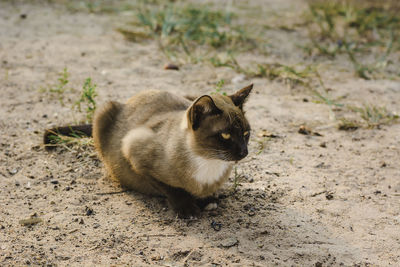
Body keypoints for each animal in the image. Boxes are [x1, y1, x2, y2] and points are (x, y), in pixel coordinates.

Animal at [44, 85, 253, 219]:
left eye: (246, 133)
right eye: (225, 135)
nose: (244, 152)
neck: (208, 162)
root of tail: (127, 100)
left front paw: (208, 199)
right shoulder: (134, 152)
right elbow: (172, 189)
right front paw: (188, 208)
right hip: (104, 111)